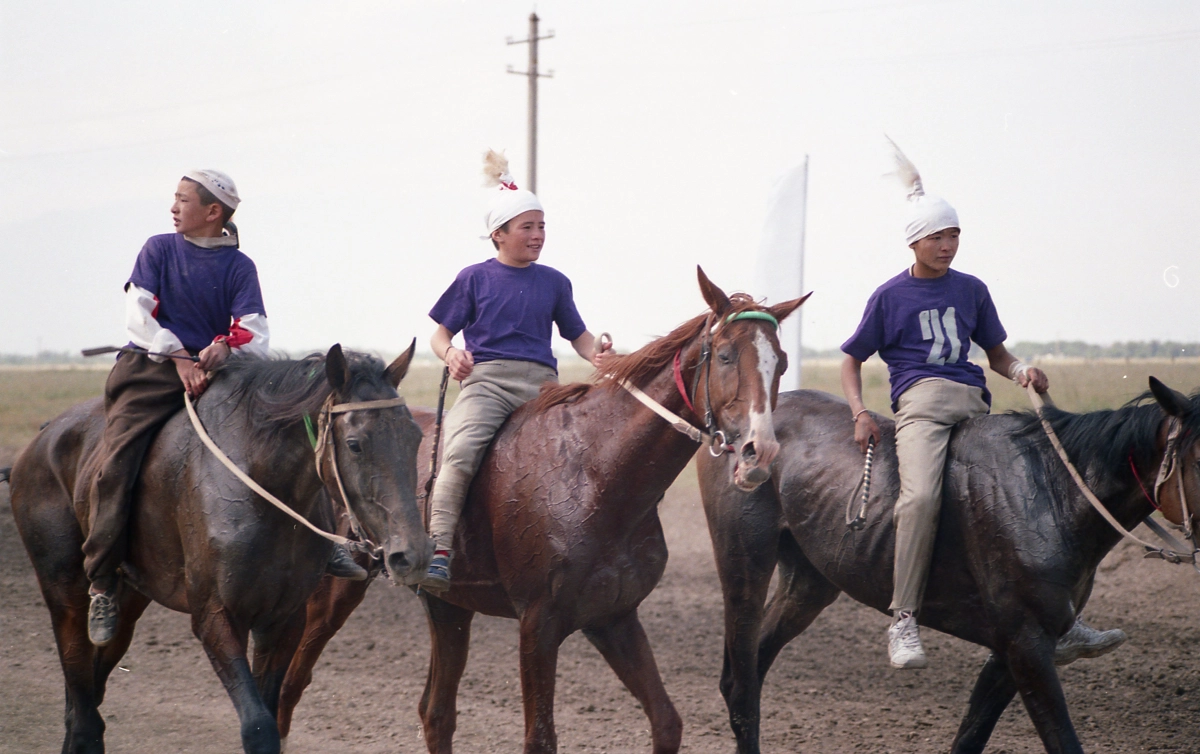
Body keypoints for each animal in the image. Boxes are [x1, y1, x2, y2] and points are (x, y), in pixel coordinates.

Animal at [7, 343, 432, 754]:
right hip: (64, 591)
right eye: (355, 444)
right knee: (81, 701)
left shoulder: (284, 619)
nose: (412, 556)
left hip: (130, 600)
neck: (260, 483)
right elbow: (259, 727)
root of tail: (41, 439)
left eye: (415, 437)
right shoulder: (216, 617)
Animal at [272, 271, 806, 754]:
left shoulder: (612, 617)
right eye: (726, 355)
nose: (761, 452)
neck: (597, 474)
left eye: (780, 362)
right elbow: (540, 738)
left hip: (448, 607)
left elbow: (667, 722)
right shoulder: (538, 623)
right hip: (335, 592)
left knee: (435, 712)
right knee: (290, 684)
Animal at [696, 379, 1200, 754]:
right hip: (744, 562)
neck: (1051, 493)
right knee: (741, 683)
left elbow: (971, 735)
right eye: (1198, 458)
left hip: (809, 582)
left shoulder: (1011, 651)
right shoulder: (1026, 645)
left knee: (753, 667)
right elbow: (1060, 739)